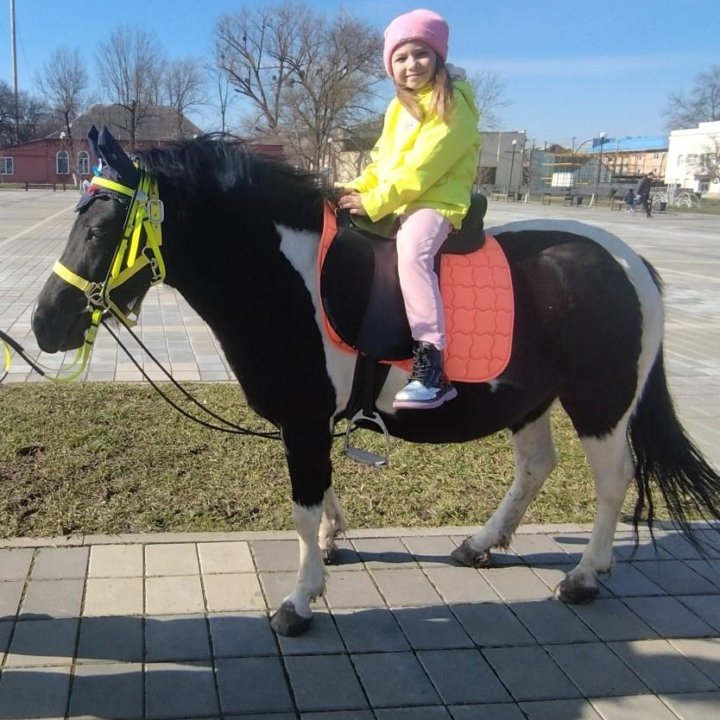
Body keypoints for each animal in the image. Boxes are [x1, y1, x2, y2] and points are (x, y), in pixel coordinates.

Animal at [32, 129, 720, 636]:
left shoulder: (305, 421)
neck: (287, 280)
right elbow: (322, 496)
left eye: (99, 230)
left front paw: (300, 599)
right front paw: (333, 544)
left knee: (613, 479)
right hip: (527, 400)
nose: (43, 324)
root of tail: (627, 259)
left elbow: (303, 508)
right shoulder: (312, 423)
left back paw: (584, 574)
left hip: (600, 402)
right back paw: (481, 544)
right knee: (535, 466)